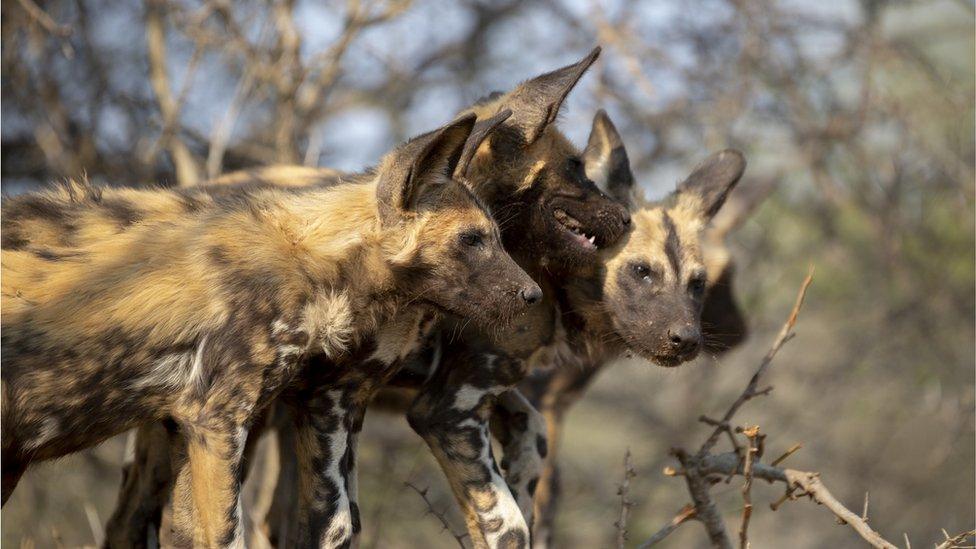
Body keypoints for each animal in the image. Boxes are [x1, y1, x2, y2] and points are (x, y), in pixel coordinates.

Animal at [0, 113, 540, 544]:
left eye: (497, 237)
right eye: (472, 240)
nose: (534, 295)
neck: (315, 266)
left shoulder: (189, 427)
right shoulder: (218, 423)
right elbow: (228, 536)